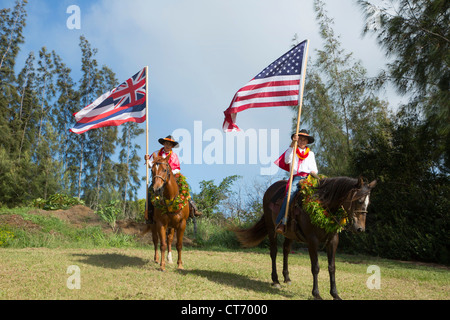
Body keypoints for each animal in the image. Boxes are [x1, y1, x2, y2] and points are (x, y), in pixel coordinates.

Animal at [234, 175, 374, 300]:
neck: (322, 205)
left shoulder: (333, 241)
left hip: (289, 233)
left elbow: (332, 267)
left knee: (286, 250)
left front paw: (335, 294)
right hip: (270, 228)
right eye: (359, 201)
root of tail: (270, 189)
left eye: (368, 203)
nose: (360, 229)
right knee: (273, 252)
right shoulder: (312, 241)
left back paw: (286, 278)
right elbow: (315, 267)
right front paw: (316, 294)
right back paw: (276, 280)